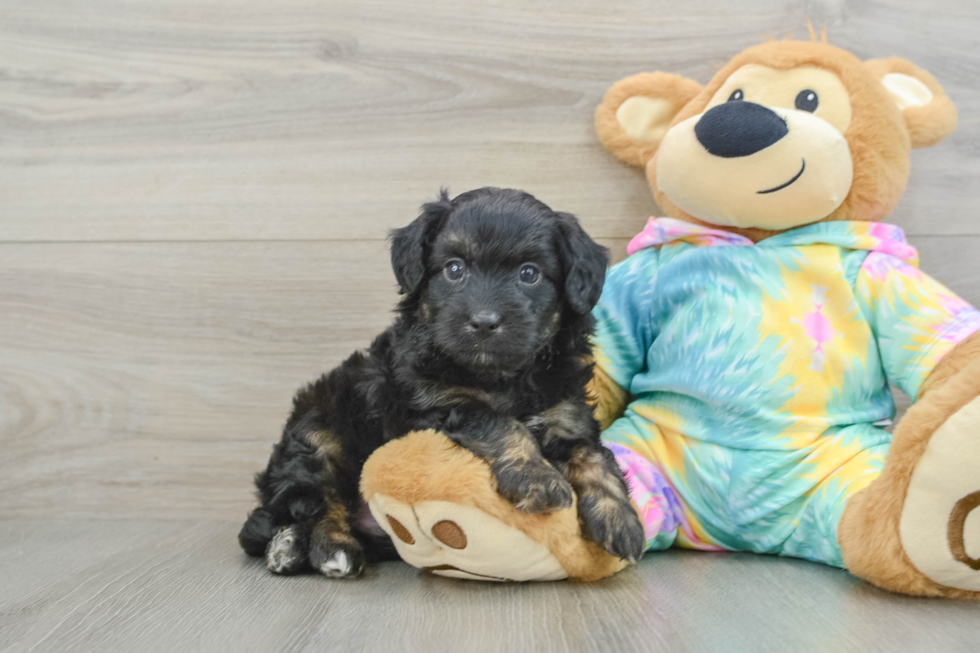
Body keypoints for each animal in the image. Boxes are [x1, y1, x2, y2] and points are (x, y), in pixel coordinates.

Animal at [241, 187, 648, 576]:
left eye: (529, 273)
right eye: (454, 268)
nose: (484, 322)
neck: (501, 377)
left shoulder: (566, 411)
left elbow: (593, 454)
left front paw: (621, 520)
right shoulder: (432, 405)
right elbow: (498, 422)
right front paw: (538, 479)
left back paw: (290, 546)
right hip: (319, 434)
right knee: (316, 502)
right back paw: (327, 548)